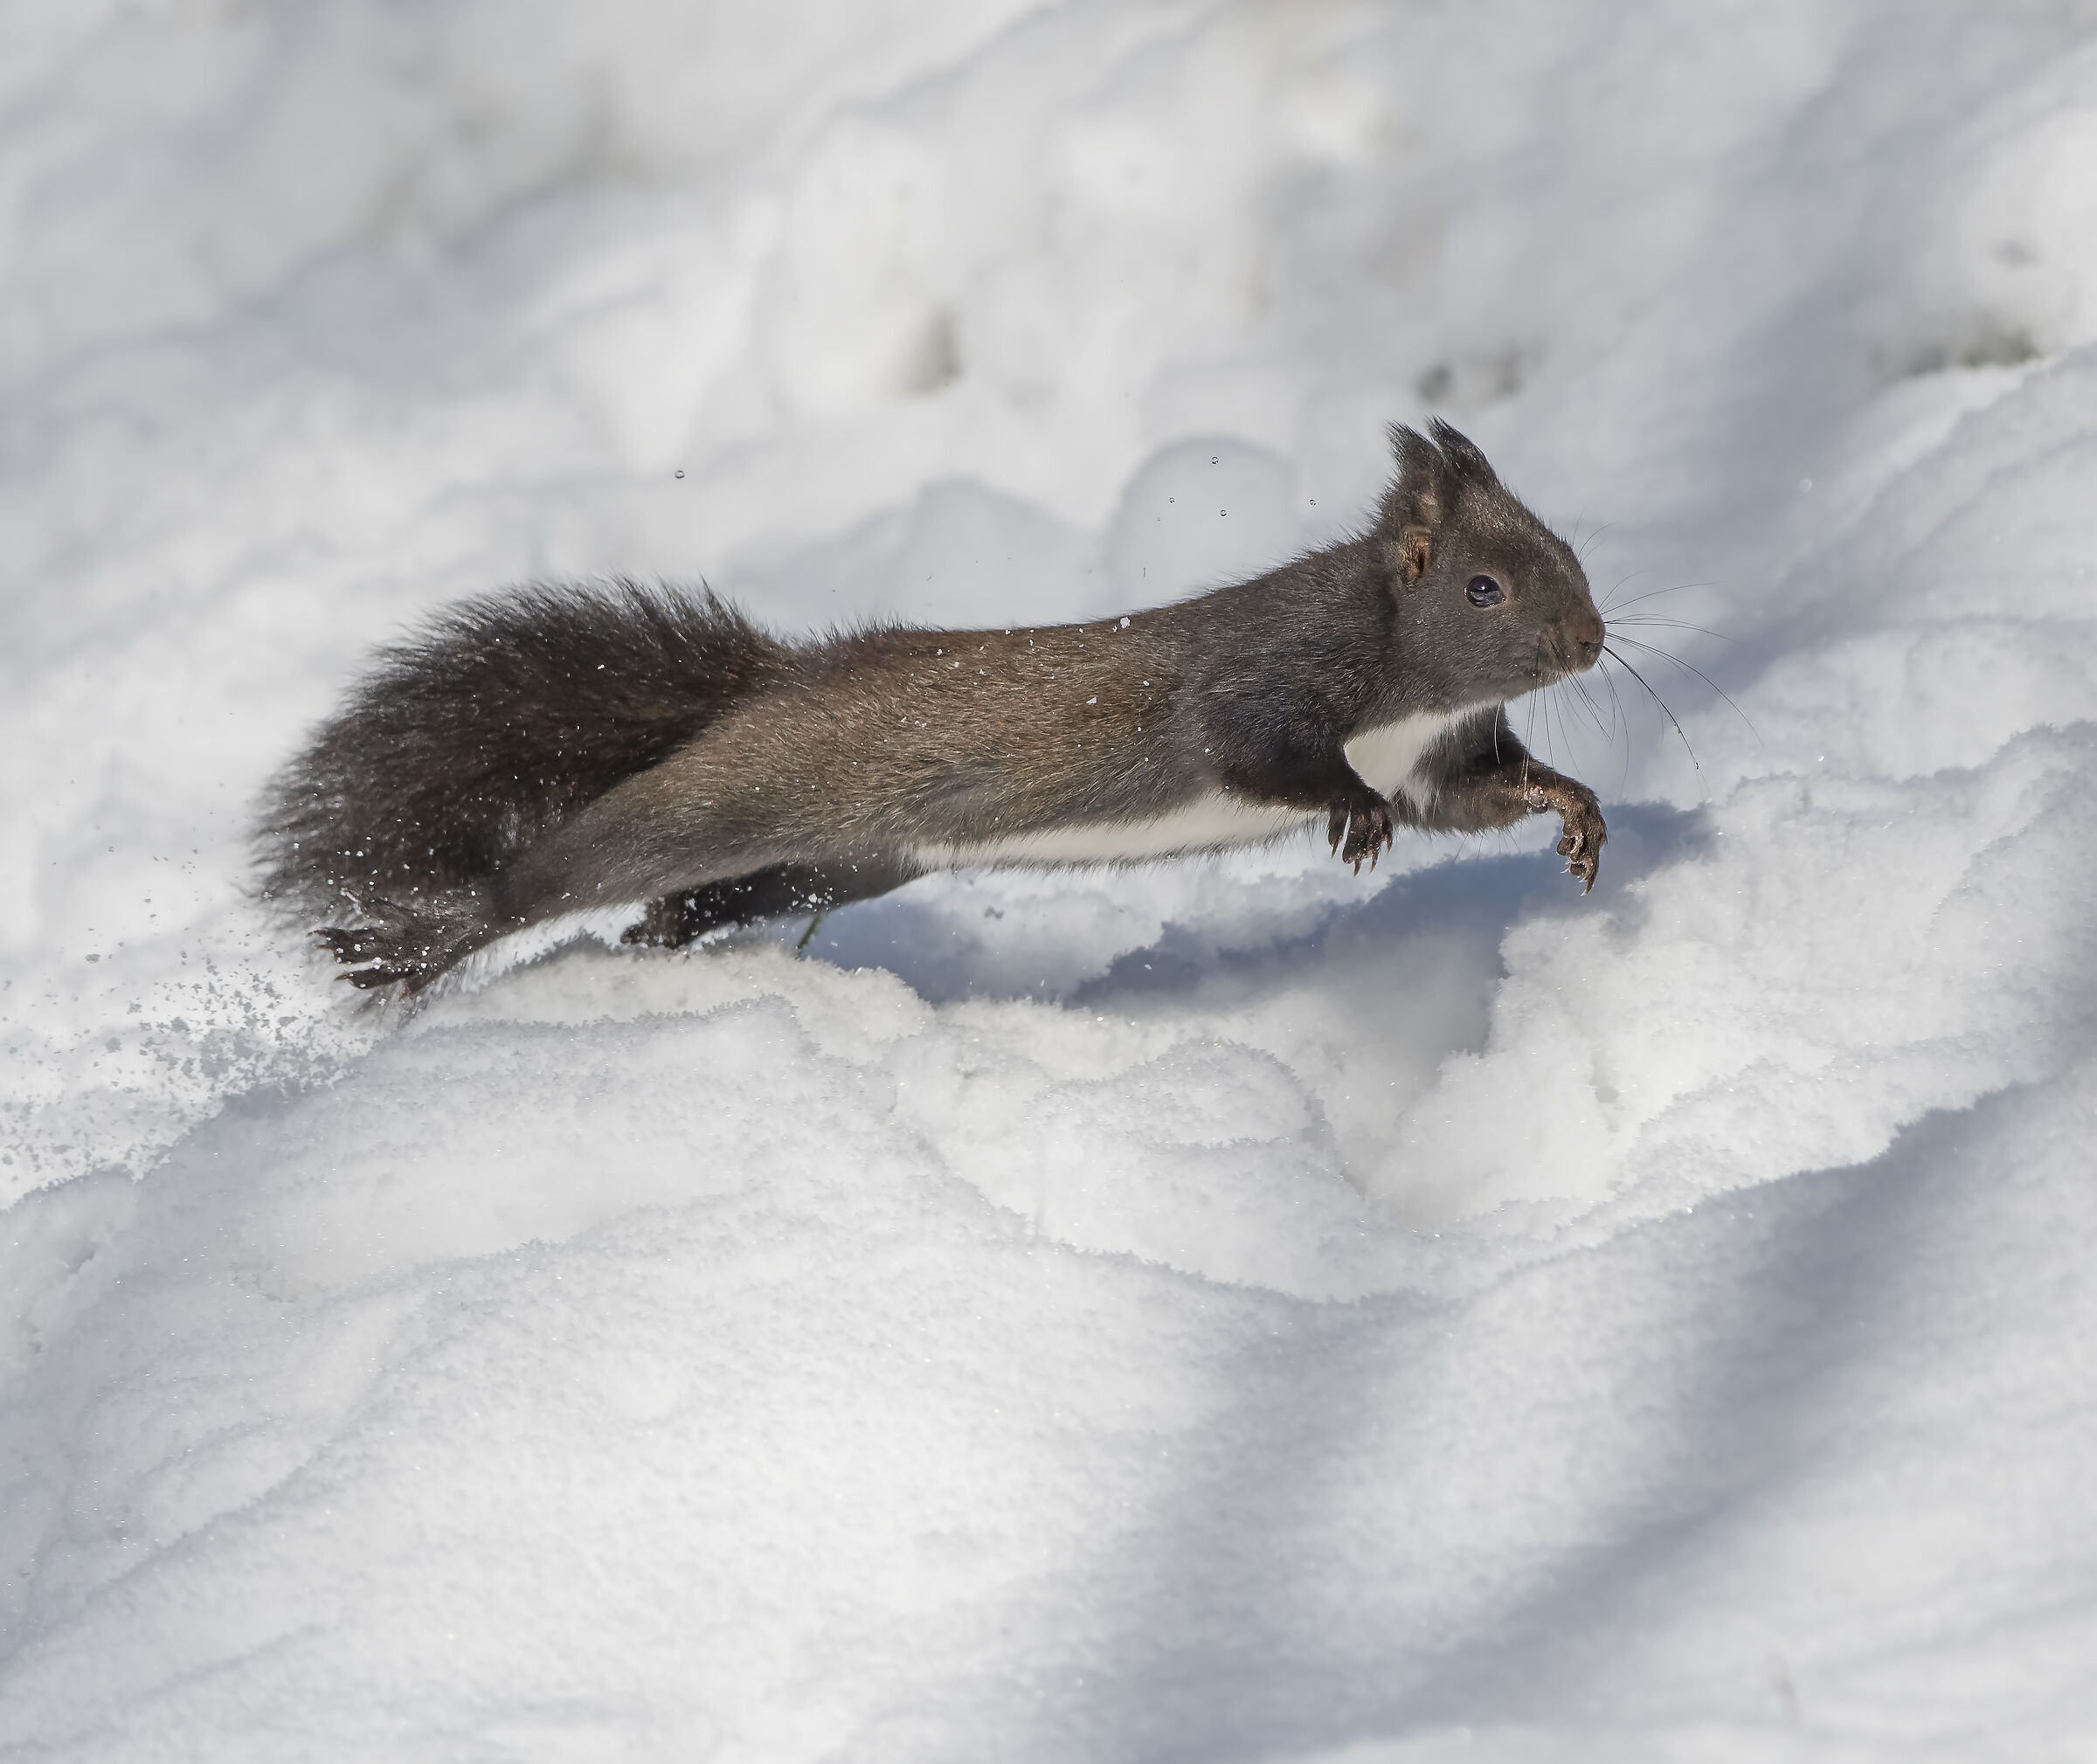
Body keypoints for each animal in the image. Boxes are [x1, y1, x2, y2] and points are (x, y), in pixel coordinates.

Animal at [257, 420, 1609, 995]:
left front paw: (1577, 808)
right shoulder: (1264, 680)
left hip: (840, 860)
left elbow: (1478, 799)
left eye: (1568, 546)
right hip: (731, 797)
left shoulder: (1434, 762)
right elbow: (1262, 749)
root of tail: (772, 687)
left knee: (716, 896)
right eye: (1484, 586)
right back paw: (421, 940)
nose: (1589, 641)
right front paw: (1349, 815)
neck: (1406, 688)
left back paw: (662, 933)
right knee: (559, 870)